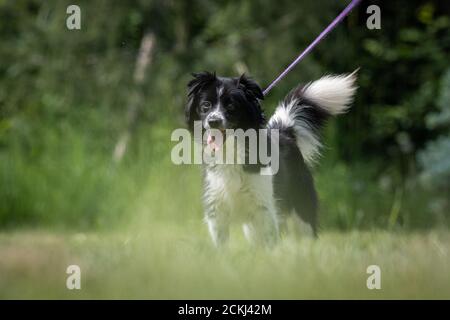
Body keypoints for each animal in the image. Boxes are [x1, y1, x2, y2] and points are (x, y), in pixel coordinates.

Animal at [185, 71, 356, 245]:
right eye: (206, 105)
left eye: (231, 106)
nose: (213, 121)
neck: (231, 151)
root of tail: (285, 132)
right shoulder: (216, 209)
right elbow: (221, 244)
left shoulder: (264, 208)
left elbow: (269, 242)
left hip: (300, 207)